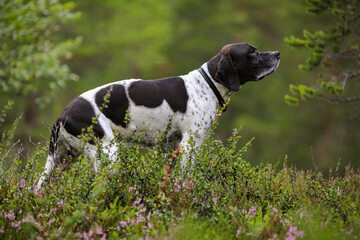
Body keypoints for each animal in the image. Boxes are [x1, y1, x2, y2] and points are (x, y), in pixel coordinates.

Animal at [38, 43, 282, 187]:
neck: (206, 84)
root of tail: (63, 115)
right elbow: (185, 178)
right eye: (251, 52)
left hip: (62, 161)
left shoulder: (171, 149)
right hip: (107, 153)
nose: (278, 53)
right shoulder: (190, 145)